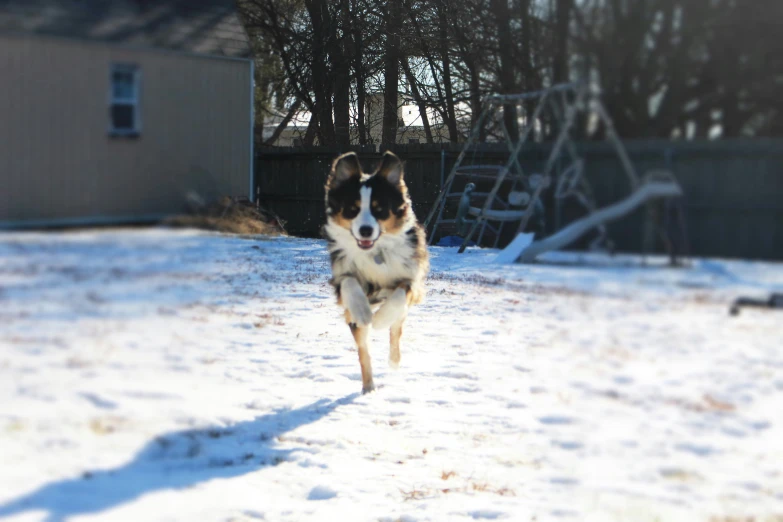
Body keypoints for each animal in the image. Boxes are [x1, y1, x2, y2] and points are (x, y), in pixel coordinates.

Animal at [322, 148, 428, 392]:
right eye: (352, 210)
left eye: (379, 210)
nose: (366, 231)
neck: (375, 252)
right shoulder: (340, 276)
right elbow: (350, 282)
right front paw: (363, 310)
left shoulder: (412, 279)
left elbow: (399, 296)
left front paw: (380, 319)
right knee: (364, 351)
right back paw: (369, 386)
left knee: (396, 332)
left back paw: (393, 362)